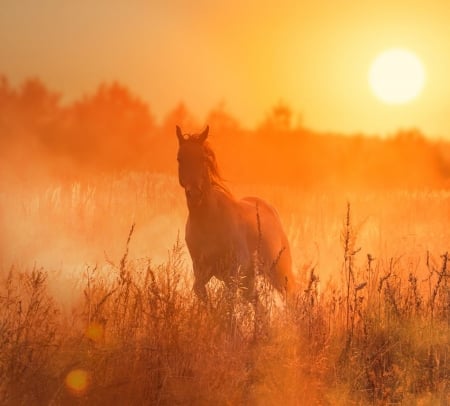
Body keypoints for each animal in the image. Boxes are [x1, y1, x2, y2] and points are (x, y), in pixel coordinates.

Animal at [176, 126, 296, 302]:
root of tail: (270, 209)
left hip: (278, 273)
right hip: (249, 279)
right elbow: (200, 292)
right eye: (180, 158)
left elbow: (228, 301)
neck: (209, 220)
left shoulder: (235, 270)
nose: (195, 194)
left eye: (203, 158)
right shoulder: (202, 270)